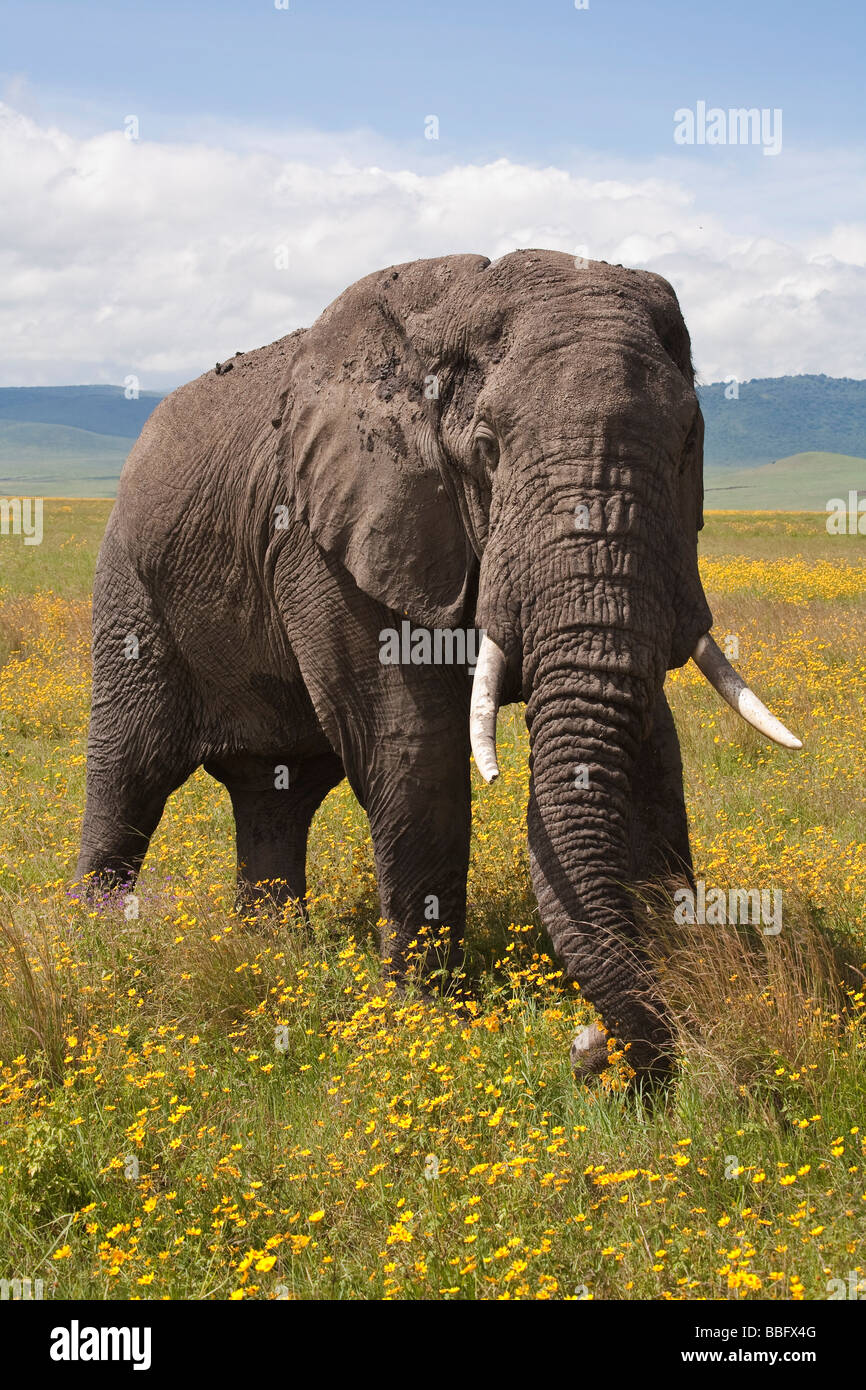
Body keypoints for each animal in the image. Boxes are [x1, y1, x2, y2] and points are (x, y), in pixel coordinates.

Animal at [77, 255, 800, 1089]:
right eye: (486, 447)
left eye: (690, 443)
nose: (588, 1049)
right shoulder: (330, 536)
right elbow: (411, 748)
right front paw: (427, 1020)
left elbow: (654, 751)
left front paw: (686, 969)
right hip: (131, 585)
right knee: (131, 771)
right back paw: (93, 947)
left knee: (275, 791)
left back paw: (273, 954)